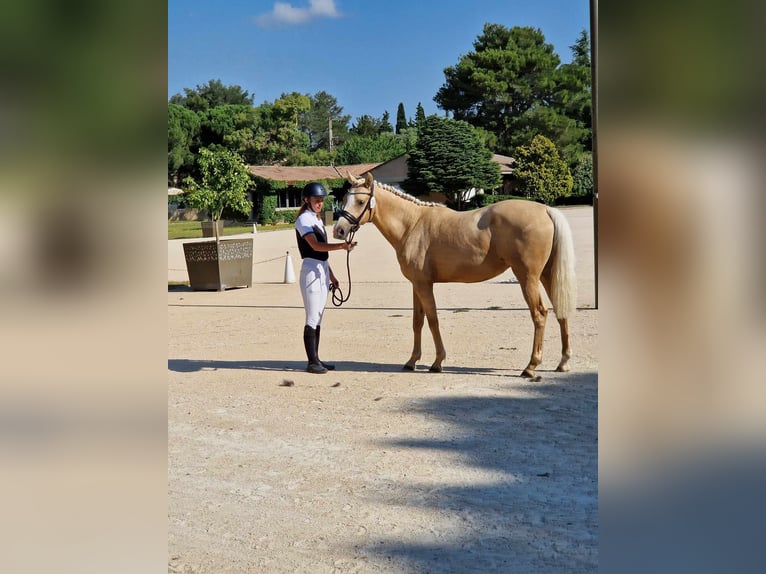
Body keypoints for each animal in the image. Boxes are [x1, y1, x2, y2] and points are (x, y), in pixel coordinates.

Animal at [332, 171, 580, 378]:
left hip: (527, 277)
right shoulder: (416, 284)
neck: (412, 224)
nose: (339, 230)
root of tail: (545, 209)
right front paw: (412, 361)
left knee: (539, 314)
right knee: (560, 309)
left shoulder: (424, 285)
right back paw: (563, 361)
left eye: (360, 202)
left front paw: (437, 362)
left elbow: (432, 320)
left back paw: (530, 366)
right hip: (547, 275)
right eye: (344, 200)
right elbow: (417, 322)